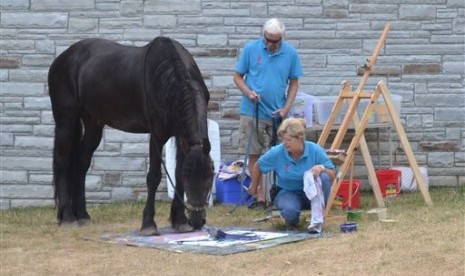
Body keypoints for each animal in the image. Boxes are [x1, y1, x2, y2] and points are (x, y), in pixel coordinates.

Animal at [47, 36, 214, 235]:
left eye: (210, 175)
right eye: (190, 175)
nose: (197, 221)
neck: (168, 77)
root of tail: (63, 58)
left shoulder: (180, 136)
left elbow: (176, 173)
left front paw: (180, 221)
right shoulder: (157, 136)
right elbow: (154, 177)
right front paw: (149, 224)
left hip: (93, 124)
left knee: (81, 164)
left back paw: (82, 215)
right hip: (66, 120)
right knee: (62, 163)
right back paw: (67, 217)